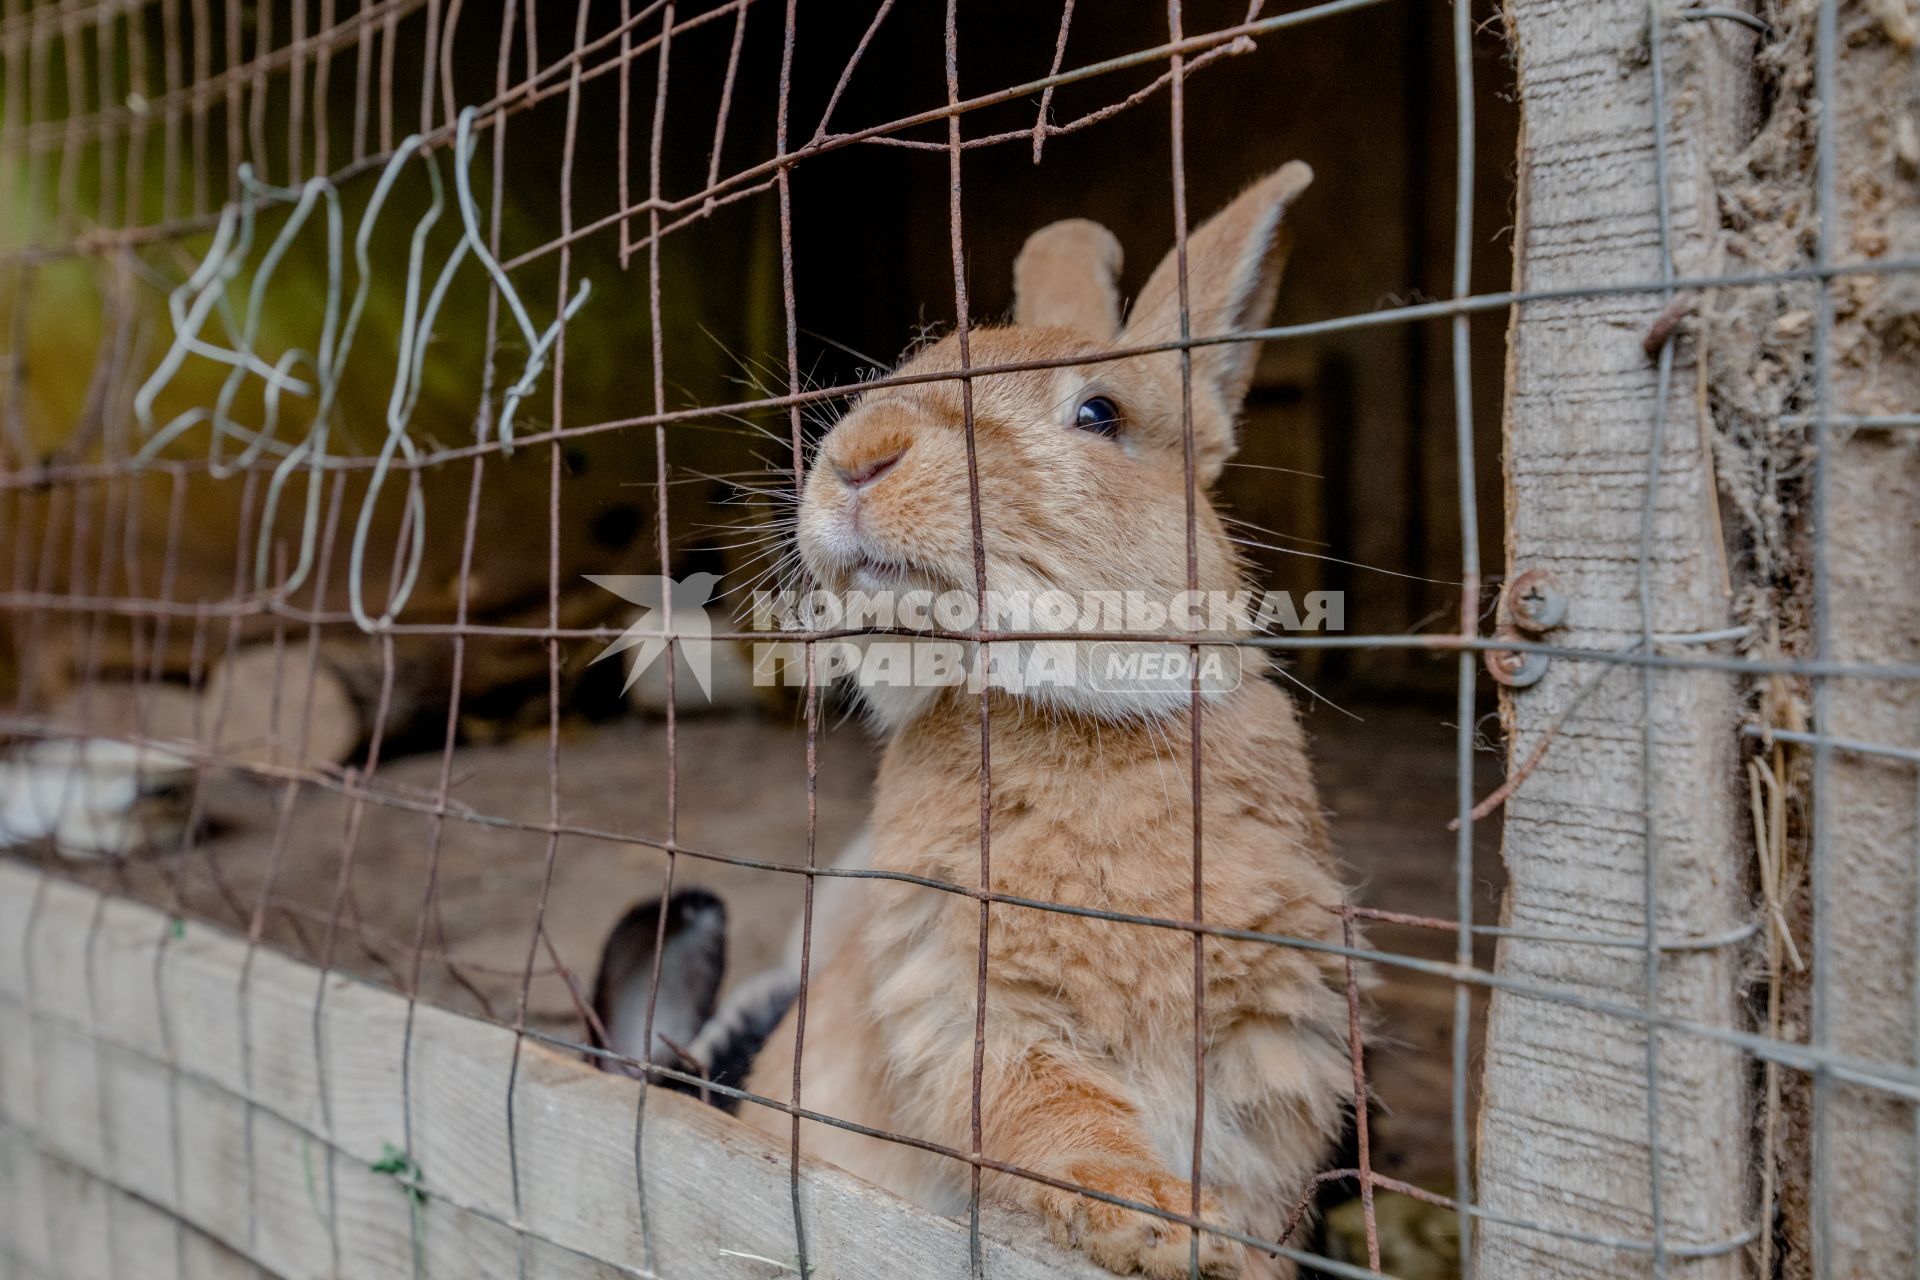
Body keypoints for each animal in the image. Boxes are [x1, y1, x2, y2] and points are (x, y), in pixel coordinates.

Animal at [725, 163, 1359, 1280]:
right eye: (915, 365)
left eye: (1100, 413)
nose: (859, 457)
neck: (1066, 716)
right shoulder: (968, 1001)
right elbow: (1056, 1121)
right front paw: (1158, 1218)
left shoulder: (1275, 1041)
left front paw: (1216, 1247)